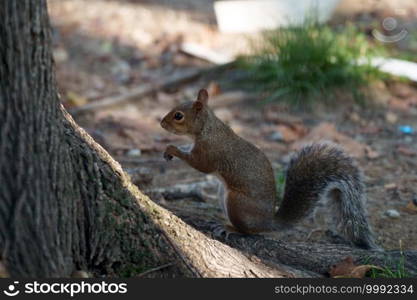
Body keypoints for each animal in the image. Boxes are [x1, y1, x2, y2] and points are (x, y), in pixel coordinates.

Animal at [160, 88, 380, 250]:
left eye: (178, 116)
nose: (161, 123)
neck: (207, 128)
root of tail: (268, 221)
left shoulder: (209, 151)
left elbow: (200, 165)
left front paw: (172, 149)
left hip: (236, 202)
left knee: (249, 231)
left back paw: (230, 228)